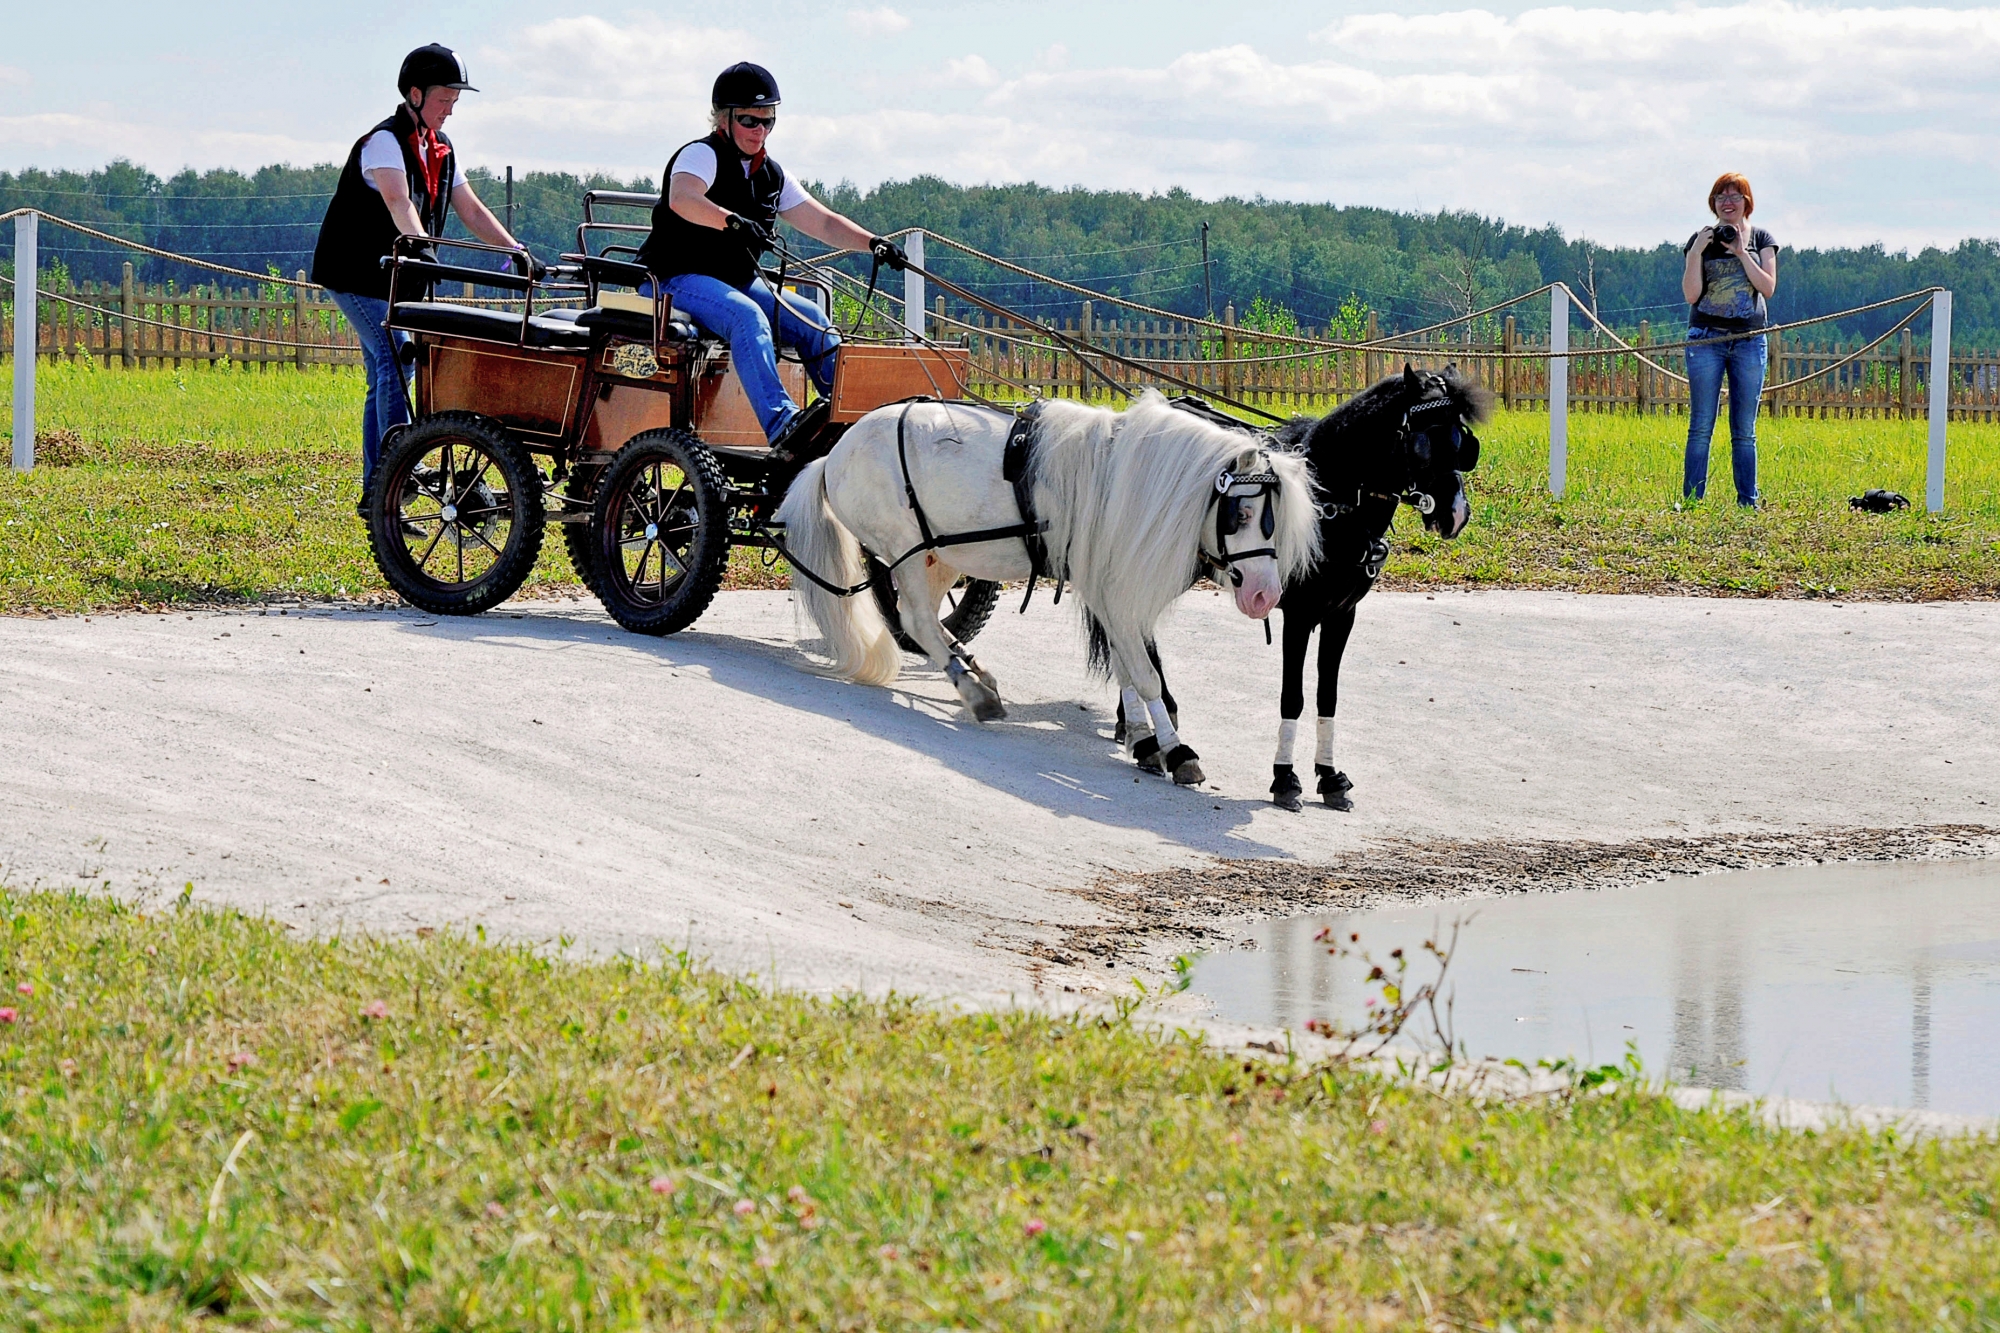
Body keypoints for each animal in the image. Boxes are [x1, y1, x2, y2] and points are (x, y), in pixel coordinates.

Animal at [772, 386, 1320, 780]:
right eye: (1241, 513)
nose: (1264, 596)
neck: (1125, 484)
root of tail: (833, 456)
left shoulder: (1106, 590)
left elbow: (1126, 671)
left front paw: (1142, 740)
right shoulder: (1115, 594)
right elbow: (1144, 675)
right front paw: (1175, 750)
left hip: (938, 552)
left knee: (922, 619)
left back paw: (974, 671)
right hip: (904, 547)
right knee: (919, 621)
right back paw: (973, 692)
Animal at [1264, 358, 1488, 804]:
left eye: (1464, 444)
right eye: (1425, 443)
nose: (1456, 513)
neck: (1328, 500)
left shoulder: (1341, 615)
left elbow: (1327, 694)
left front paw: (1329, 776)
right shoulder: (1298, 615)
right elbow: (1293, 696)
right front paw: (1284, 777)